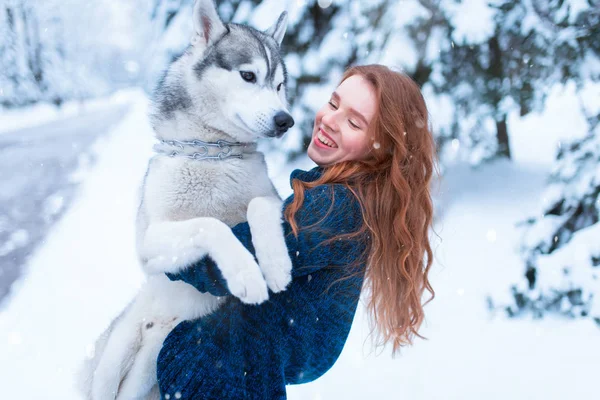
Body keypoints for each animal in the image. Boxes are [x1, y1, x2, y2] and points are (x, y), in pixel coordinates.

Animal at [78, 1, 296, 398]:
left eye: (279, 85)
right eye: (248, 75)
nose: (285, 120)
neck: (212, 154)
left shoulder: (274, 199)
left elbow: (257, 206)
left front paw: (274, 265)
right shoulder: (150, 245)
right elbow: (210, 225)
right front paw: (246, 274)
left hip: (149, 367)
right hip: (113, 361)